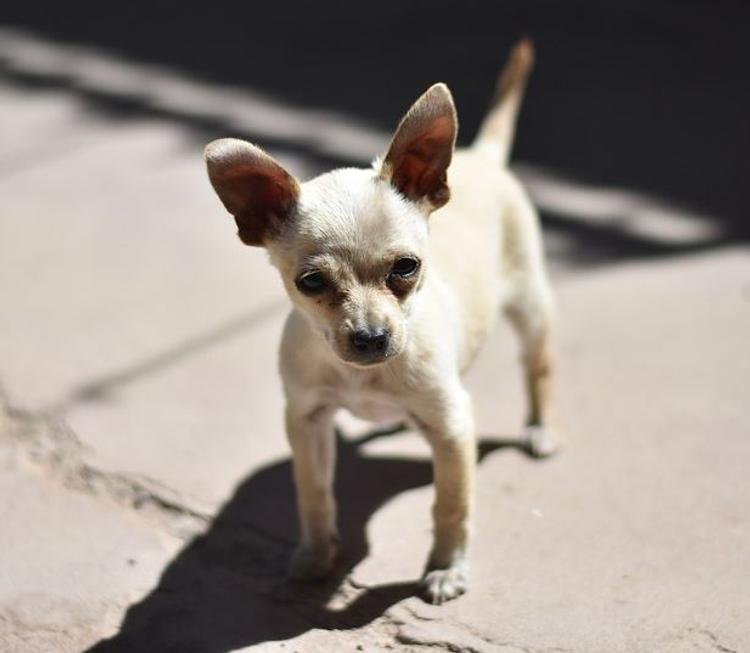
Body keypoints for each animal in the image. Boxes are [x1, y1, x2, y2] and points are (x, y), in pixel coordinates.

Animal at [206, 39, 560, 600]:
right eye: (311, 283)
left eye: (406, 268)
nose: (372, 337)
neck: (364, 377)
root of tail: (479, 155)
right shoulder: (307, 421)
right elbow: (313, 493)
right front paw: (316, 554)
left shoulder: (454, 428)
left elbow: (451, 504)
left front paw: (446, 567)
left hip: (530, 305)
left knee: (538, 365)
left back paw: (539, 427)